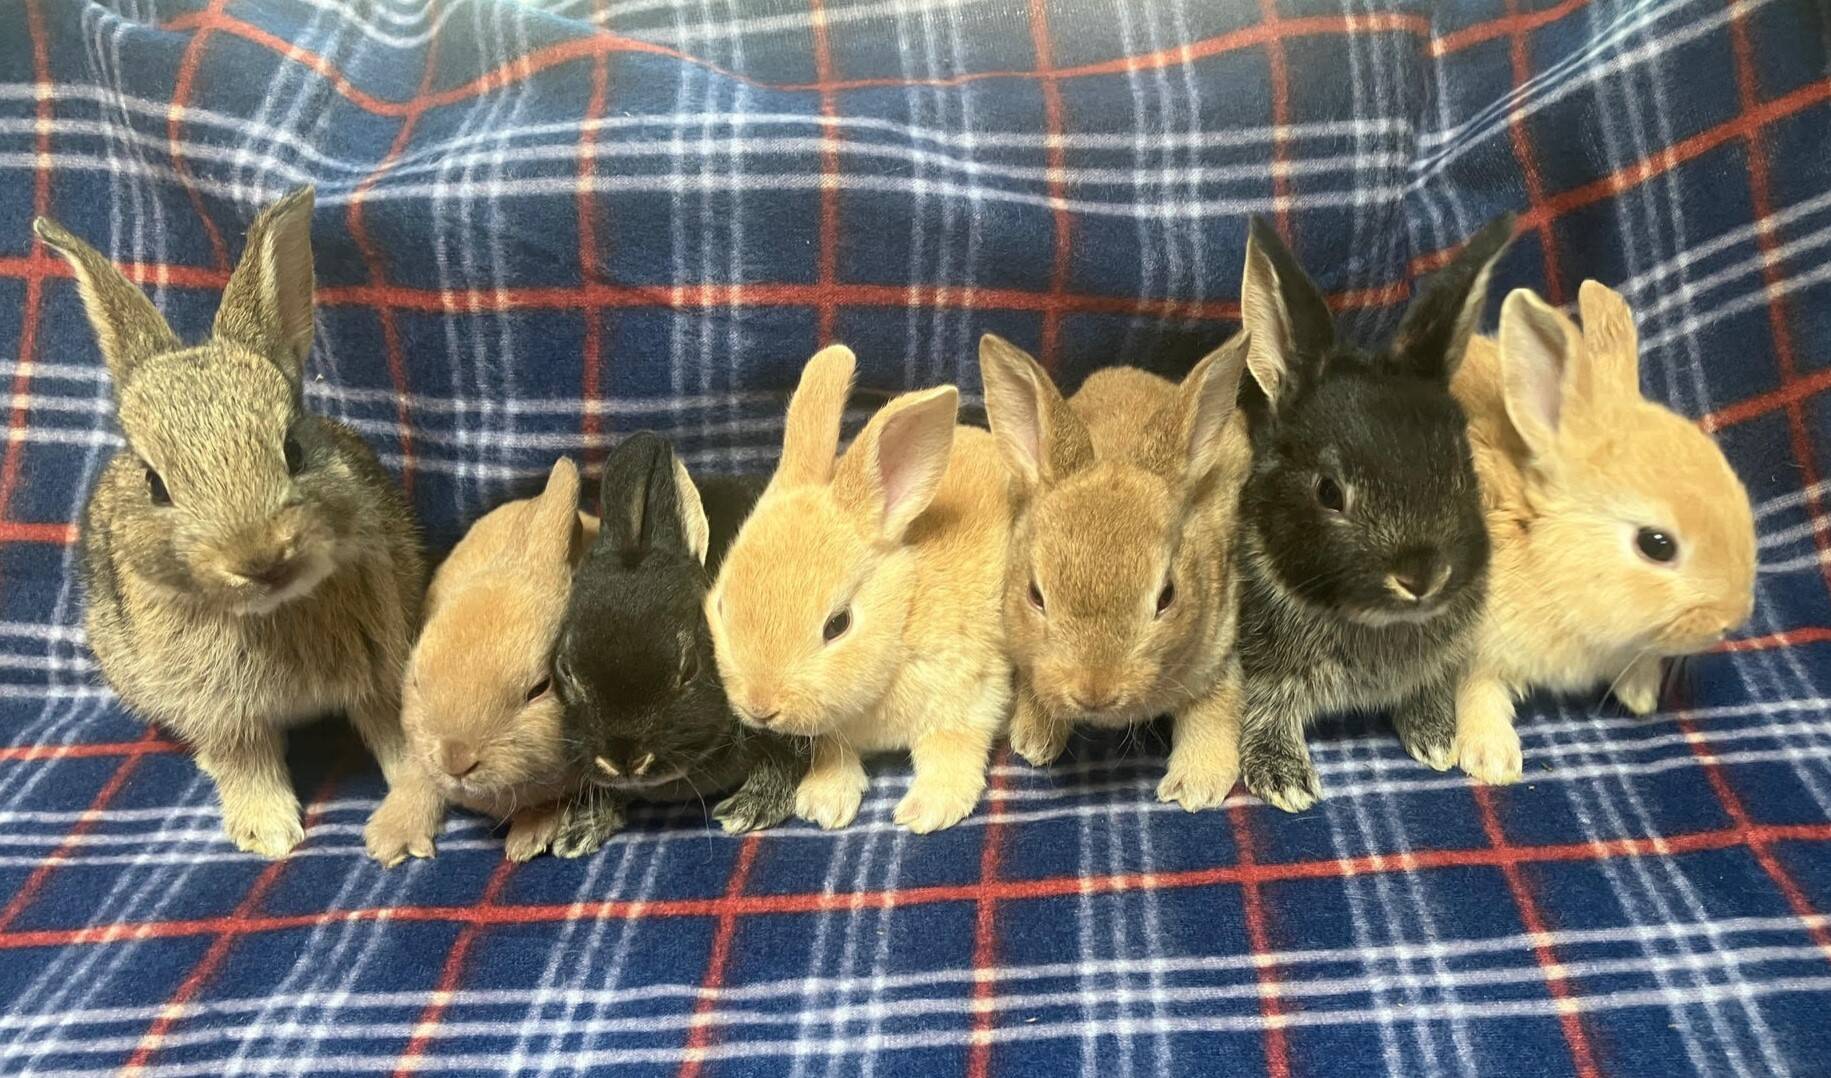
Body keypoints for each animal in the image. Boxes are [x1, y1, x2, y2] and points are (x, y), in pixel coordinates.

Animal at [37, 187, 435, 861]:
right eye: (155, 484)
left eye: (293, 449)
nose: (259, 558)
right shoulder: (219, 708)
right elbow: (245, 758)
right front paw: (268, 833)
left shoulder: (382, 667)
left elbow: (400, 741)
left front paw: (408, 826)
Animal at [706, 345, 1013, 834]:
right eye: (720, 604)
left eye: (838, 625)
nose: (760, 707)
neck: (904, 618)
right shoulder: (834, 734)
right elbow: (834, 753)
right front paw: (824, 801)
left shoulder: (971, 696)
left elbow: (952, 750)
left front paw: (928, 810)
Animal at [978, 333, 1253, 810]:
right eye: (1035, 595)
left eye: (1167, 597)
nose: (1094, 692)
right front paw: (1034, 741)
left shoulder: (1219, 642)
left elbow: (1215, 705)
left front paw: (1196, 786)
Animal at [1232, 213, 1514, 812]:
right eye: (1328, 491)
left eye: (1462, 467)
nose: (1422, 576)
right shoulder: (1263, 665)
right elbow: (1267, 706)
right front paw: (1284, 779)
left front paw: (1438, 738)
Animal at [1448, 281, 1757, 783]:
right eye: (1656, 545)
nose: (1732, 620)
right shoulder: (1472, 649)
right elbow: (1478, 692)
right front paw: (1492, 759)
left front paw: (1640, 695)